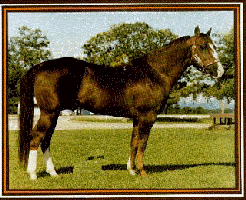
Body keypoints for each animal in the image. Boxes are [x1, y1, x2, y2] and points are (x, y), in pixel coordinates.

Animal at [18, 25, 224, 180]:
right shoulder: (148, 117)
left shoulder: (137, 118)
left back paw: (53, 172)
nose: (220, 71)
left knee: (46, 140)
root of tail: (41, 66)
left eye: (213, 45)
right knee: (36, 138)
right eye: (203, 46)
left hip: (53, 114)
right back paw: (33, 174)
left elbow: (133, 142)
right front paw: (142, 171)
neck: (154, 73)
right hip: (49, 112)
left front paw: (131, 170)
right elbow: (142, 143)